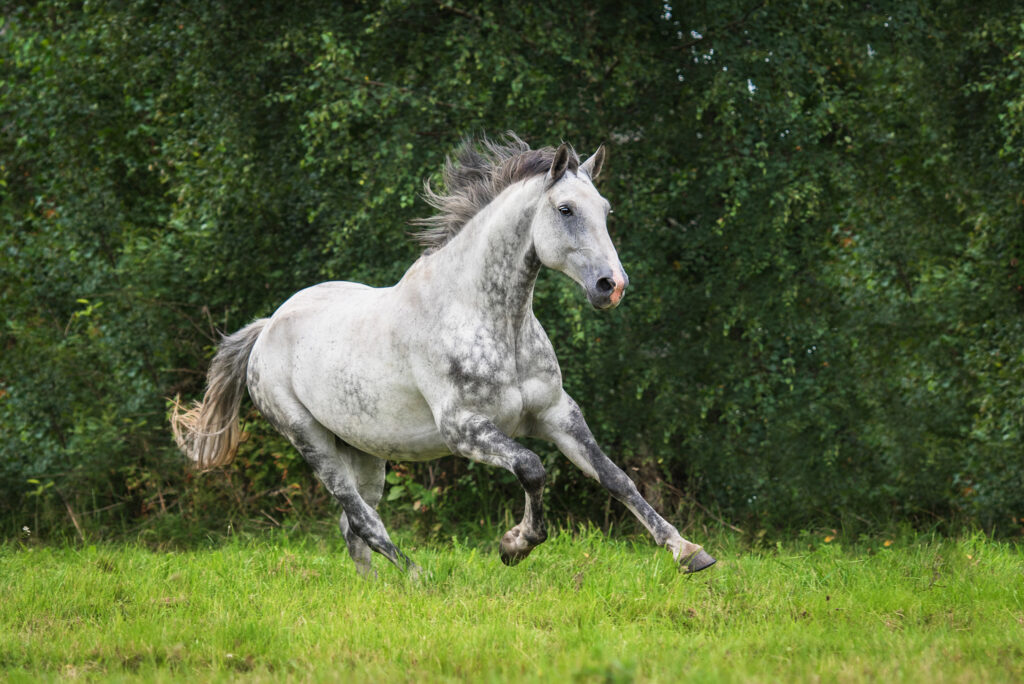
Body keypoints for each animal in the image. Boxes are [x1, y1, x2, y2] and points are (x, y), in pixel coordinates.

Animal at [169, 131, 712, 573]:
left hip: (364, 451)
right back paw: (417, 579)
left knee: (353, 527)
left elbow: (616, 478)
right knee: (364, 522)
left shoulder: (558, 414)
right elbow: (532, 468)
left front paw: (688, 552)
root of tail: (267, 327)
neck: (493, 321)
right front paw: (514, 545)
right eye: (565, 210)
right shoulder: (463, 429)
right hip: (309, 440)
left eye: (605, 210)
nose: (611, 287)